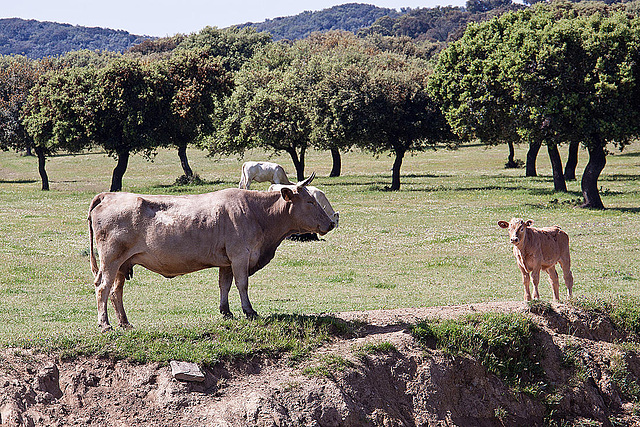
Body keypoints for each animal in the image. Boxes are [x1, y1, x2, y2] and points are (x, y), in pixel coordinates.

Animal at [89, 173, 336, 332]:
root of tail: (109, 195)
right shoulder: (240, 255)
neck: (259, 213)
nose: (330, 223)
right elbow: (242, 284)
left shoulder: (226, 261)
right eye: (310, 201)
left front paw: (226, 311)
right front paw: (249, 311)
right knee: (103, 287)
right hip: (111, 259)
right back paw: (105, 325)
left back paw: (124, 322)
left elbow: (224, 285)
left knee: (116, 291)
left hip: (123, 264)